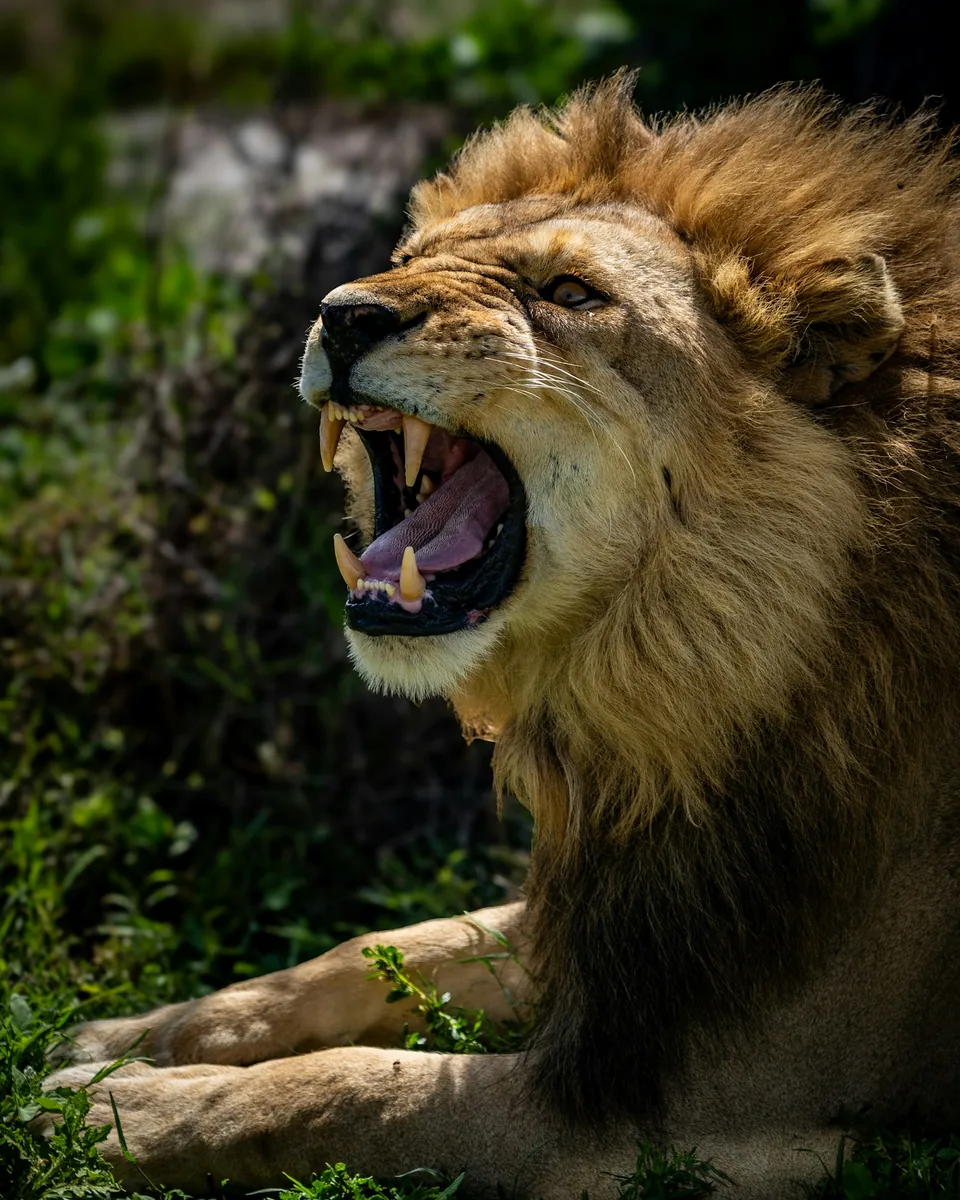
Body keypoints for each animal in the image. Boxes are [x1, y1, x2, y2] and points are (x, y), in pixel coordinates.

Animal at [47, 75, 960, 1198]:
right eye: (406, 261)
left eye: (570, 293)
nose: (341, 312)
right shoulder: (615, 918)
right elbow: (376, 948)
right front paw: (136, 1034)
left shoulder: (725, 1108)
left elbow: (358, 1090)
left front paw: (111, 1112)